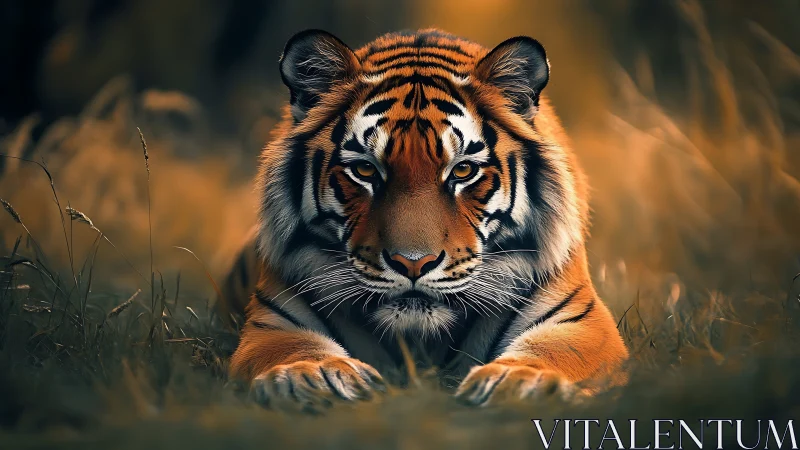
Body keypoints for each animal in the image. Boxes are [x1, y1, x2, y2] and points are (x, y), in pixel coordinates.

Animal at [224, 28, 628, 409]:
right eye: (365, 170)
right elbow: (294, 350)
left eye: (463, 170)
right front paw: (312, 377)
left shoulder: (580, 323)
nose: (413, 264)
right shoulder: (274, 323)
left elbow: (554, 353)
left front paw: (523, 383)